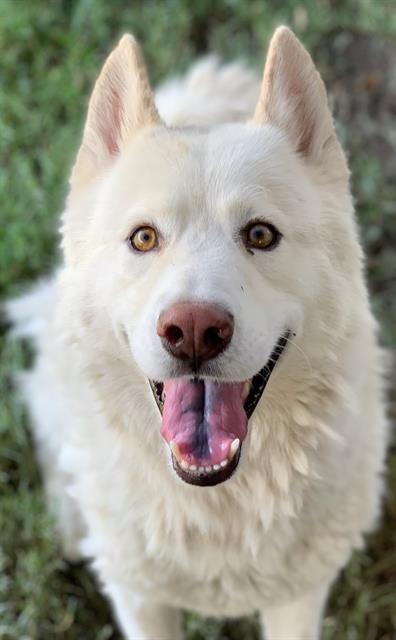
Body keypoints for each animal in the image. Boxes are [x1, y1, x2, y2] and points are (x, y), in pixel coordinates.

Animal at [8, 26, 386, 640]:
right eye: (143, 238)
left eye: (260, 235)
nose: (192, 330)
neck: (218, 501)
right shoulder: (140, 598)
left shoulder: (299, 597)